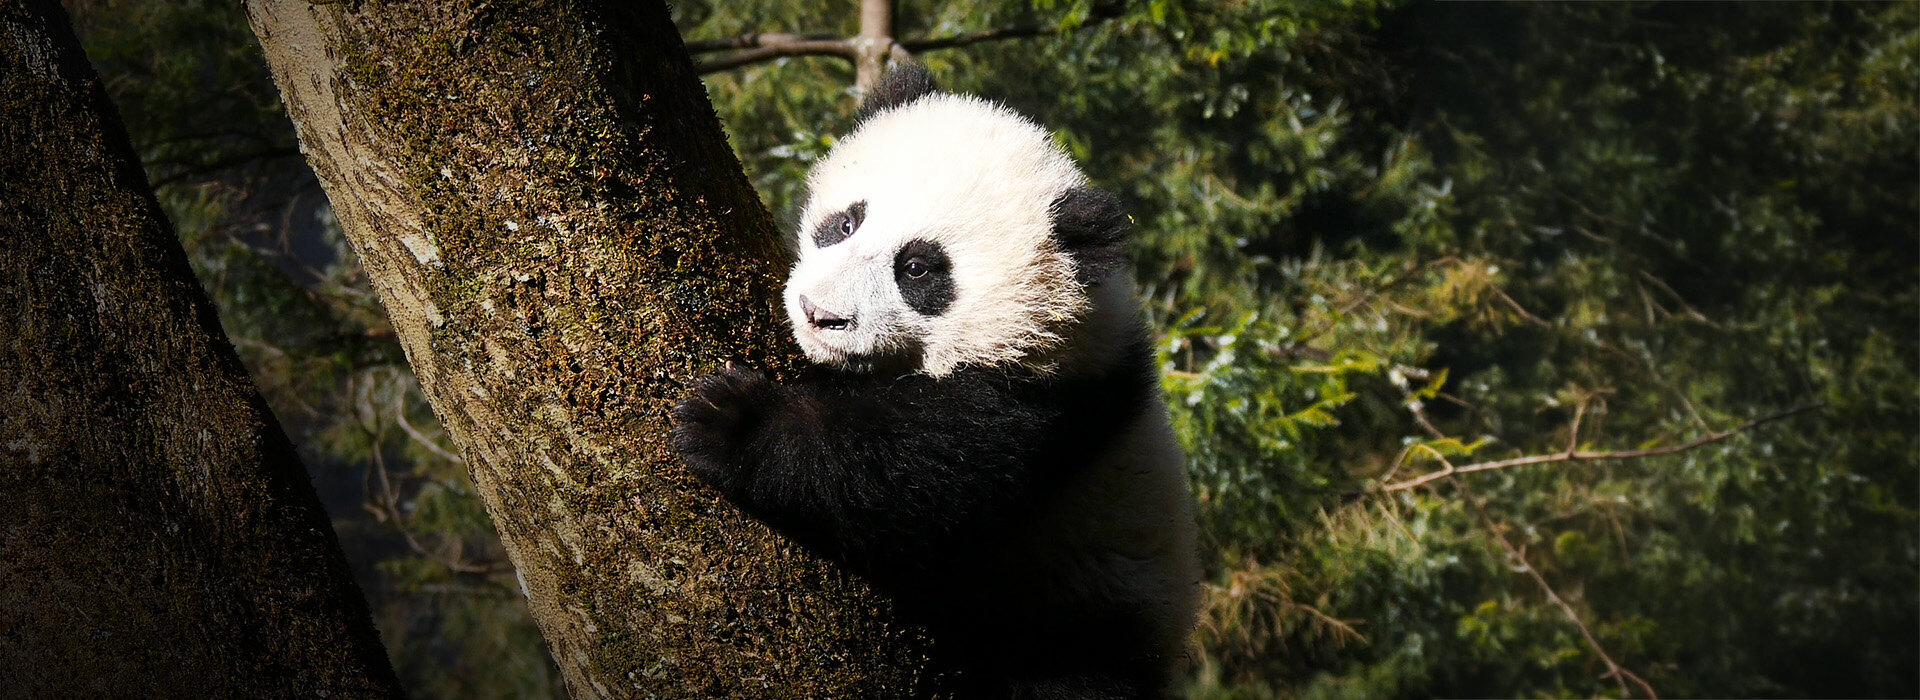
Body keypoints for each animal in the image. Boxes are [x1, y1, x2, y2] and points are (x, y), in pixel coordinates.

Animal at [672, 65, 1200, 699]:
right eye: (845, 223)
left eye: (918, 269)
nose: (820, 314)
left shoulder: (1045, 401)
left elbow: (906, 471)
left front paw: (731, 421)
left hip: (1088, 616)